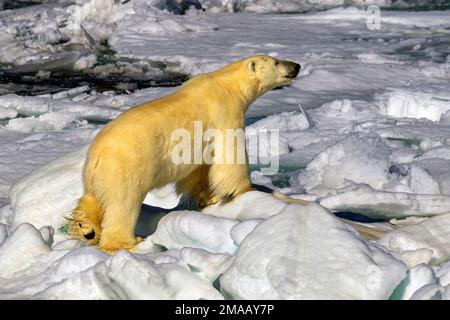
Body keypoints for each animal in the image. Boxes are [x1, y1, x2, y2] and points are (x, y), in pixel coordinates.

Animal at [68, 56, 300, 254]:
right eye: (277, 62)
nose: (296, 65)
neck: (227, 86)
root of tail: (97, 156)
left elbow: (201, 167)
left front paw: (207, 197)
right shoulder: (225, 114)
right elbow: (230, 156)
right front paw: (246, 190)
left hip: (94, 177)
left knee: (91, 200)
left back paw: (85, 228)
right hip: (125, 169)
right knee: (123, 206)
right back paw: (127, 242)